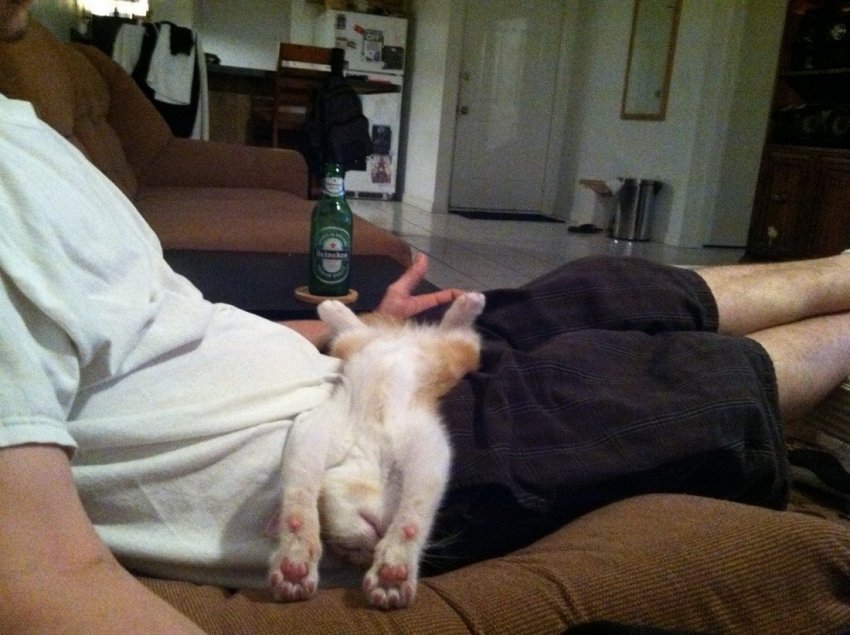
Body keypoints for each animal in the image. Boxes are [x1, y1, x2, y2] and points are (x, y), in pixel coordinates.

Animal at [268, 291, 485, 610]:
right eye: (351, 551)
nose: (375, 540)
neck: (374, 451)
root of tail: (398, 335)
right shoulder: (315, 433)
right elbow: (298, 495)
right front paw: (295, 560)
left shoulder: (426, 444)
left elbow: (416, 510)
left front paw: (394, 567)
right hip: (352, 343)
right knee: (354, 328)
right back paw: (333, 308)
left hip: (458, 352)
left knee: (457, 332)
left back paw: (468, 303)